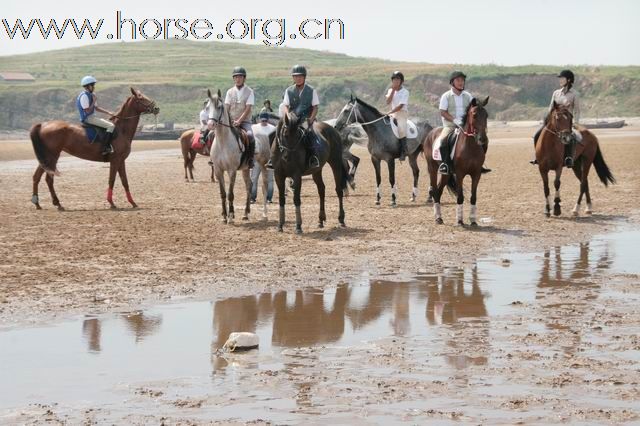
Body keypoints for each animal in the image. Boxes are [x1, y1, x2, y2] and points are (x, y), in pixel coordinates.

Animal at [29, 87, 160, 211]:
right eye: (141, 98)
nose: (156, 108)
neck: (121, 130)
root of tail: (43, 125)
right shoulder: (115, 160)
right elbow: (112, 180)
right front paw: (111, 203)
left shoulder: (121, 161)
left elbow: (124, 181)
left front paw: (132, 202)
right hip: (52, 156)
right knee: (49, 179)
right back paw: (57, 203)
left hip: (46, 158)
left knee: (37, 177)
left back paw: (37, 203)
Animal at [208, 88, 252, 225]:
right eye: (207, 107)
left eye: (219, 107)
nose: (210, 125)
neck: (223, 142)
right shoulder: (218, 170)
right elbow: (223, 193)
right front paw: (224, 216)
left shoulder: (232, 170)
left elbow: (230, 193)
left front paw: (231, 216)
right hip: (245, 169)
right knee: (249, 186)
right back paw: (245, 214)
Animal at [424, 97, 490, 226]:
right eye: (474, 115)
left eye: (486, 115)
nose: (483, 139)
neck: (470, 146)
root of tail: (431, 133)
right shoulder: (460, 174)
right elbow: (460, 197)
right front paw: (459, 221)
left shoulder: (476, 174)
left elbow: (473, 197)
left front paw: (473, 220)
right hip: (432, 169)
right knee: (434, 191)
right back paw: (438, 218)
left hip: (446, 174)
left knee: (439, 191)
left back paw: (440, 217)